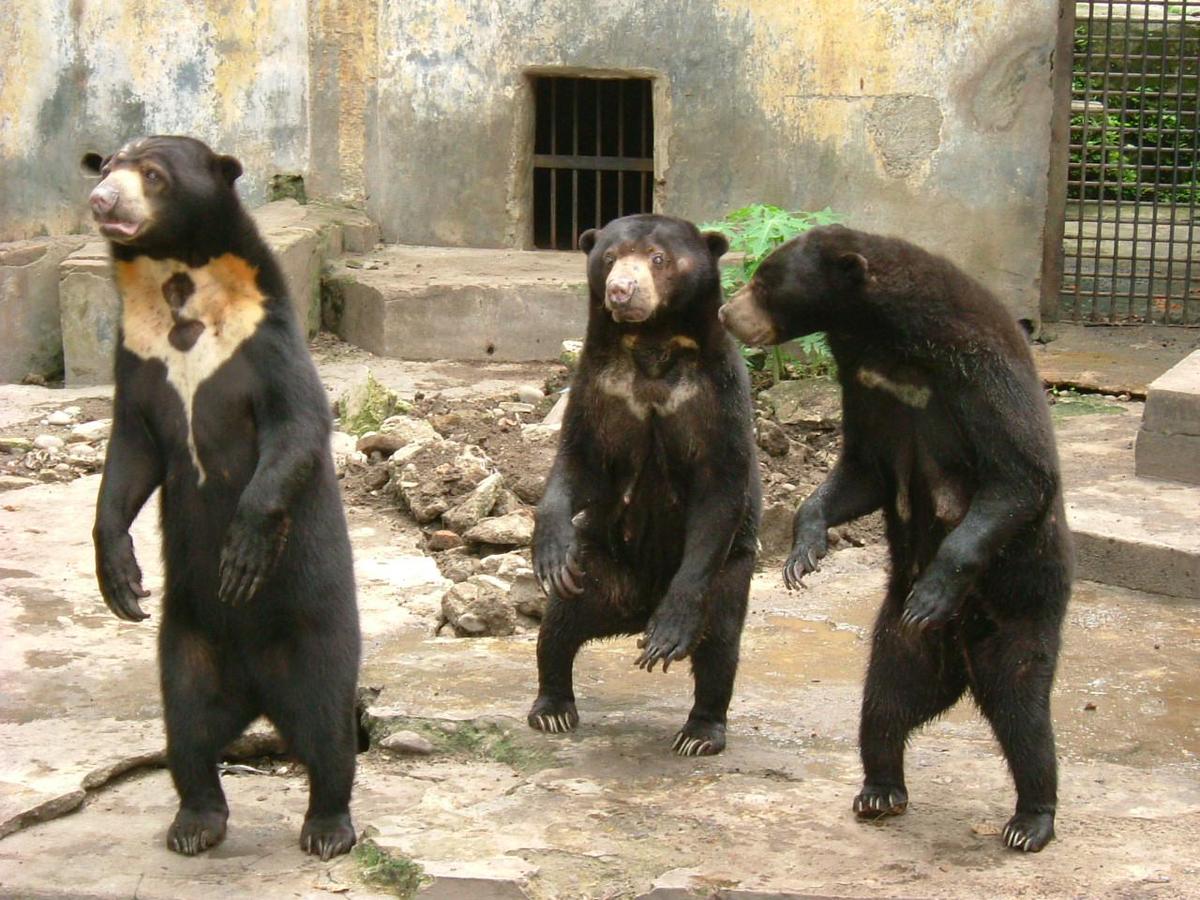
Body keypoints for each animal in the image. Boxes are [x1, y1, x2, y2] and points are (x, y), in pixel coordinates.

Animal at [84, 137, 357, 864]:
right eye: (107, 165)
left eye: (152, 174)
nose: (101, 200)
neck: (179, 283)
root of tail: (258, 692)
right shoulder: (137, 355)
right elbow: (131, 454)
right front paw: (121, 580)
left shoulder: (265, 339)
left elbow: (296, 428)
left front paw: (239, 558)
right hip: (188, 641)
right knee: (187, 731)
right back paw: (195, 823)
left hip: (317, 633)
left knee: (329, 730)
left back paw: (327, 829)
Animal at [532, 214, 758, 758]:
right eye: (611, 257)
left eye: (658, 258)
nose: (621, 291)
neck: (653, 344)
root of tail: (637, 606)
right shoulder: (599, 386)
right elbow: (580, 460)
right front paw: (549, 552)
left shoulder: (716, 395)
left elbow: (720, 489)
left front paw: (669, 634)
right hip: (599, 564)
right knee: (558, 625)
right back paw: (551, 706)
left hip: (731, 574)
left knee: (720, 644)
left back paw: (699, 730)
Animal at [715, 224, 1075, 854]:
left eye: (764, 279)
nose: (725, 312)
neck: (888, 339)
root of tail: (961, 667)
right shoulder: (866, 386)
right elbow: (864, 471)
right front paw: (802, 553)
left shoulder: (977, 369)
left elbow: (1018, 474)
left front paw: (933, 589)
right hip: (899, 645)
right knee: (882, 704)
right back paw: (880, 789)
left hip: (1023, 613)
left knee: (1024, 714)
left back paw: (1030, 820)